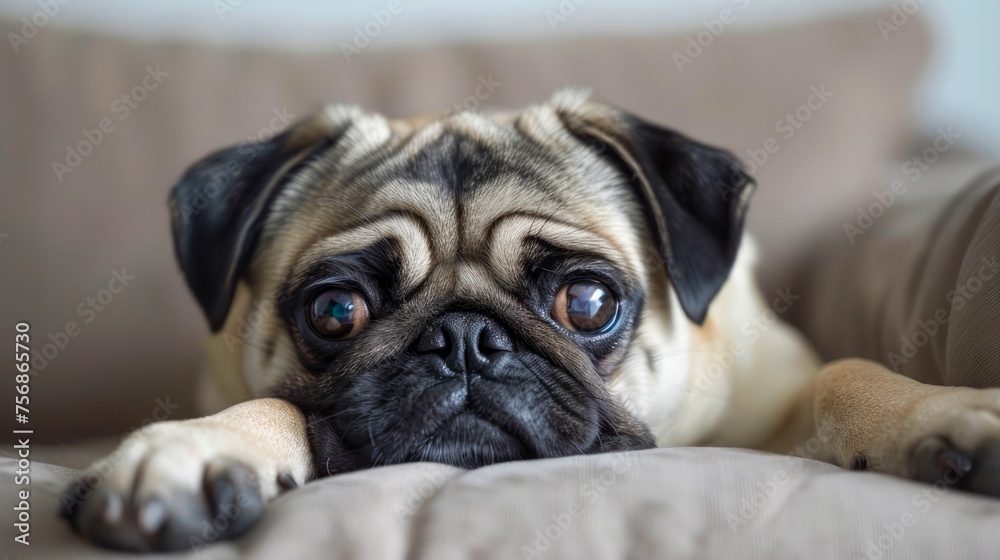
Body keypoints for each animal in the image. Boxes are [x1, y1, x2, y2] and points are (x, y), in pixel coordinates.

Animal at [60, 91, 1000, 552]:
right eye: (336, 310)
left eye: (586, 303)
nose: (465, 340)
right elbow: (270, 405)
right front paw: (188, 450)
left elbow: (848, 373)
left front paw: (941, 414)